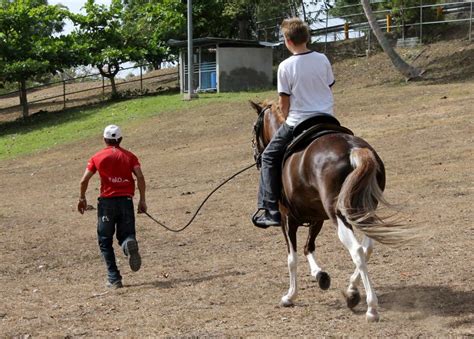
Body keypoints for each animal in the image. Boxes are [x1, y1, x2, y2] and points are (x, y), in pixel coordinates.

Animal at [250, 99, 412, 322]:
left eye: (254, 128)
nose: (256, 155)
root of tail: (353, 149)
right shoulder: (317, 217)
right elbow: (308, 247)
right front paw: (320, 276)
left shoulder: (287, 219)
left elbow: (292, 258)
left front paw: (290, 296)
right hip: (364, 209)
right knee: (367, 247)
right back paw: (352, 292)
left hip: (339, 215)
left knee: (357, 250)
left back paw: (371, 308)